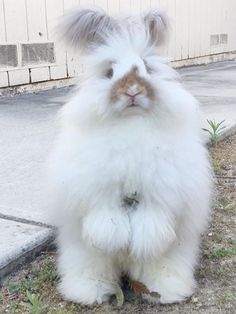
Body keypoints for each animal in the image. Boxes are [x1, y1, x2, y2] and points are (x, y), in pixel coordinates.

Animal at [48, 7, 212, 306]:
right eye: (110, 72)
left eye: (147, 68)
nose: (133, 91)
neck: (131, 125)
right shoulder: (96, 190)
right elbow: (106, 218)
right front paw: (112, 239)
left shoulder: (163, 190)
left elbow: (153, 218)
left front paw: (147, 240)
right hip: (84, 256)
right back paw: (88, 292)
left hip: (171, 258)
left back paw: (166, 291)